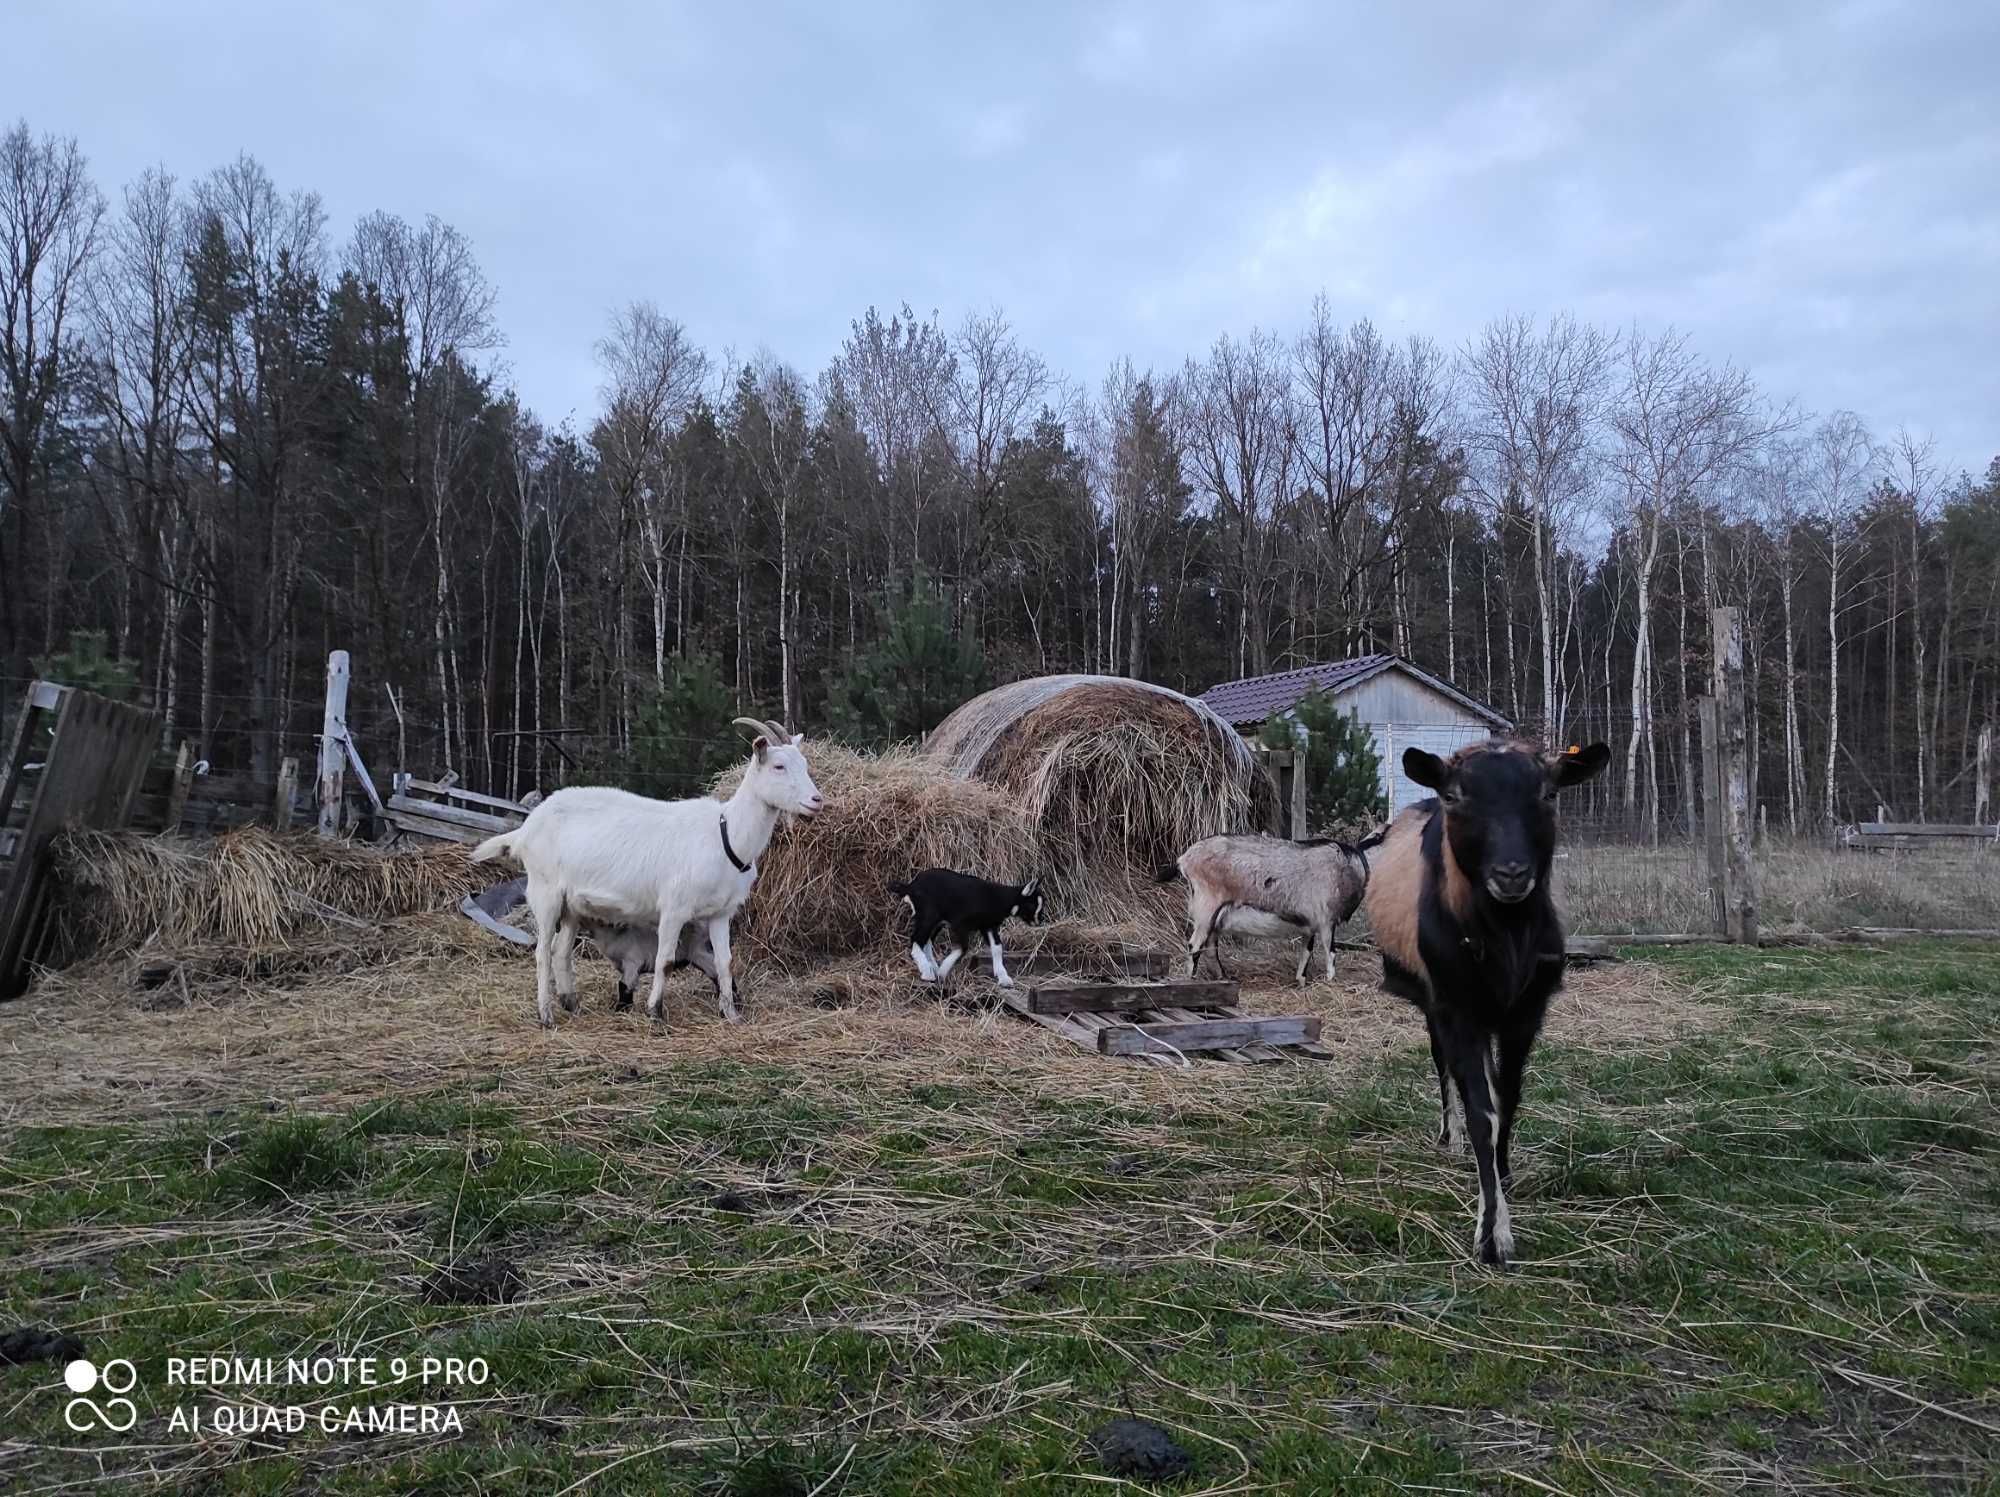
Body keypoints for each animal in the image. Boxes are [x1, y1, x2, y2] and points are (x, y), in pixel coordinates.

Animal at [468, 716, 820, 1024]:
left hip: (573, 905)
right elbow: (665, 960)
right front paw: (655, 1012)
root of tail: (526, 828)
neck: (726, 835)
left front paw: (731, 1014)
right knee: (542, 952)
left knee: (560, 951)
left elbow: (725, 962)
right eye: (778, 766)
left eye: (804, 765)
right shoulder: (674, 909)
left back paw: (571, 1004)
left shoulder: (722, 913)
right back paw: (546, 1015)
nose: (817, 800)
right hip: (545, 892)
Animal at [1360, 736, 1608, 1264]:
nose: (1511, 874)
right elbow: (1481, 1111)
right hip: (1432, 1002)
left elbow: (1507, 1098)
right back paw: (1446, 1136)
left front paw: (1505, 1175)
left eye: (1548, 794)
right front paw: (1492, 1236)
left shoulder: (1526, 1012)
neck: (1503, 937)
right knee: (1442, 1065)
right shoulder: (1456, 1006)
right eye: (1456, 796)